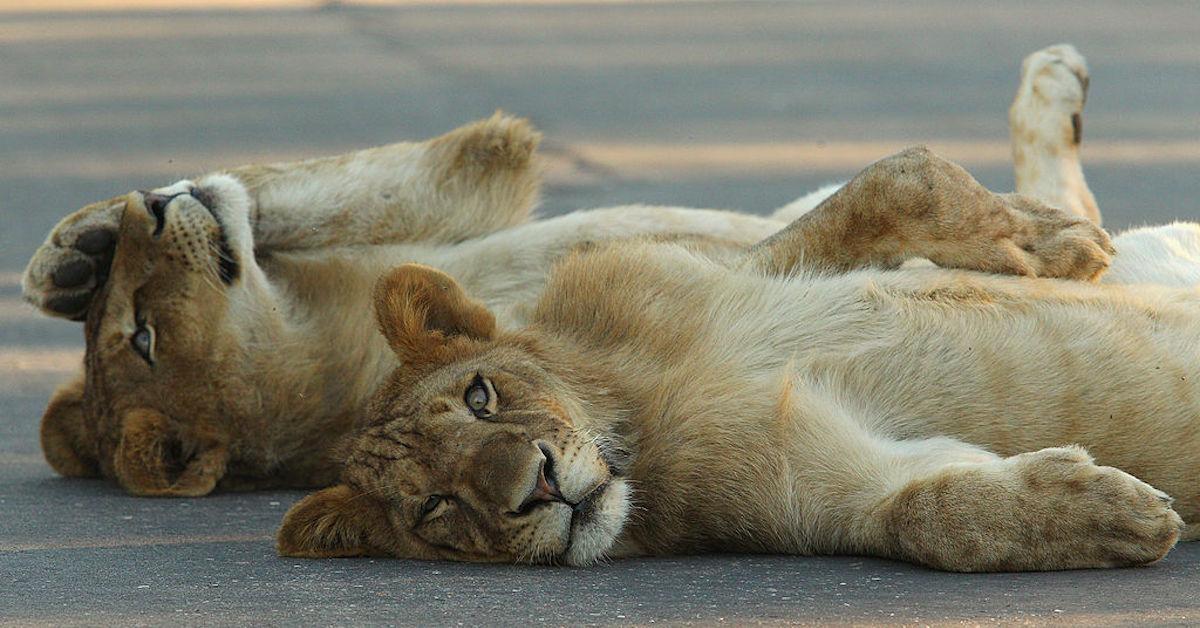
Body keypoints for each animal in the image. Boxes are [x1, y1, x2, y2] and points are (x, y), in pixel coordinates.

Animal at [18, 41, 1190, 499]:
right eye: (142, 337)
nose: (146, 218)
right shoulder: (697, 284)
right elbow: (891, 184)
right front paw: (1033, 244)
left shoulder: (459, 207)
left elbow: (305, 183)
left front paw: (77, 247)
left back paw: (1054, 104)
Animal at [276, 141, 1195, 569]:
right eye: (435, 508)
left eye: (479, 397)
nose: (536, 487)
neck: (638, 413)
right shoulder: (813, 485)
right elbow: (932, 511)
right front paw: (1110, 514)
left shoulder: (721, 276)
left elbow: (895, 181)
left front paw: (1050, 242)